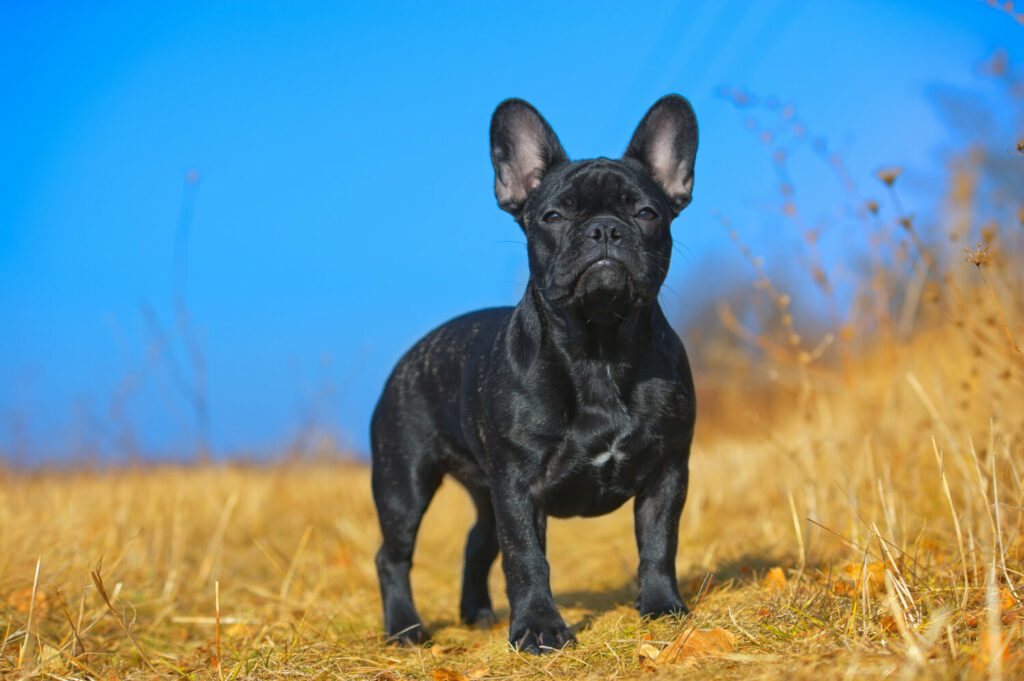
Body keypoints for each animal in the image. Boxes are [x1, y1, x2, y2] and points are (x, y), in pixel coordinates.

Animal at [372, 95, 700, 655]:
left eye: (646, 212)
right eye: (553, 216)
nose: (605, 228)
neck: (598, 348)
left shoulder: (667, 470)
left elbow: (659, 541)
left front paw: (661, 607)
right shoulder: (519, 487)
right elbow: (526, 559)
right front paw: (540, 630)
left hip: (485, 494)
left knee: (477, 543)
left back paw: (476, 613)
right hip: (404, 482)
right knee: (393, 555)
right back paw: (405, 629)